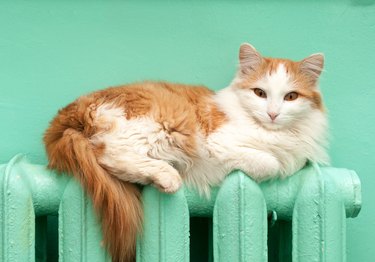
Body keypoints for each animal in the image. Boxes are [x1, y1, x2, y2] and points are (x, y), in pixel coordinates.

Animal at [43, 43, 328, 262]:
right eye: (260, 93)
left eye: (290, 97)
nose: (272, 114)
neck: (273, 133)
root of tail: (66, 116)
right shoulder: (219, 144)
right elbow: (270, 162)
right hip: (157, 125)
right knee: (108, 154)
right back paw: (167, 176)